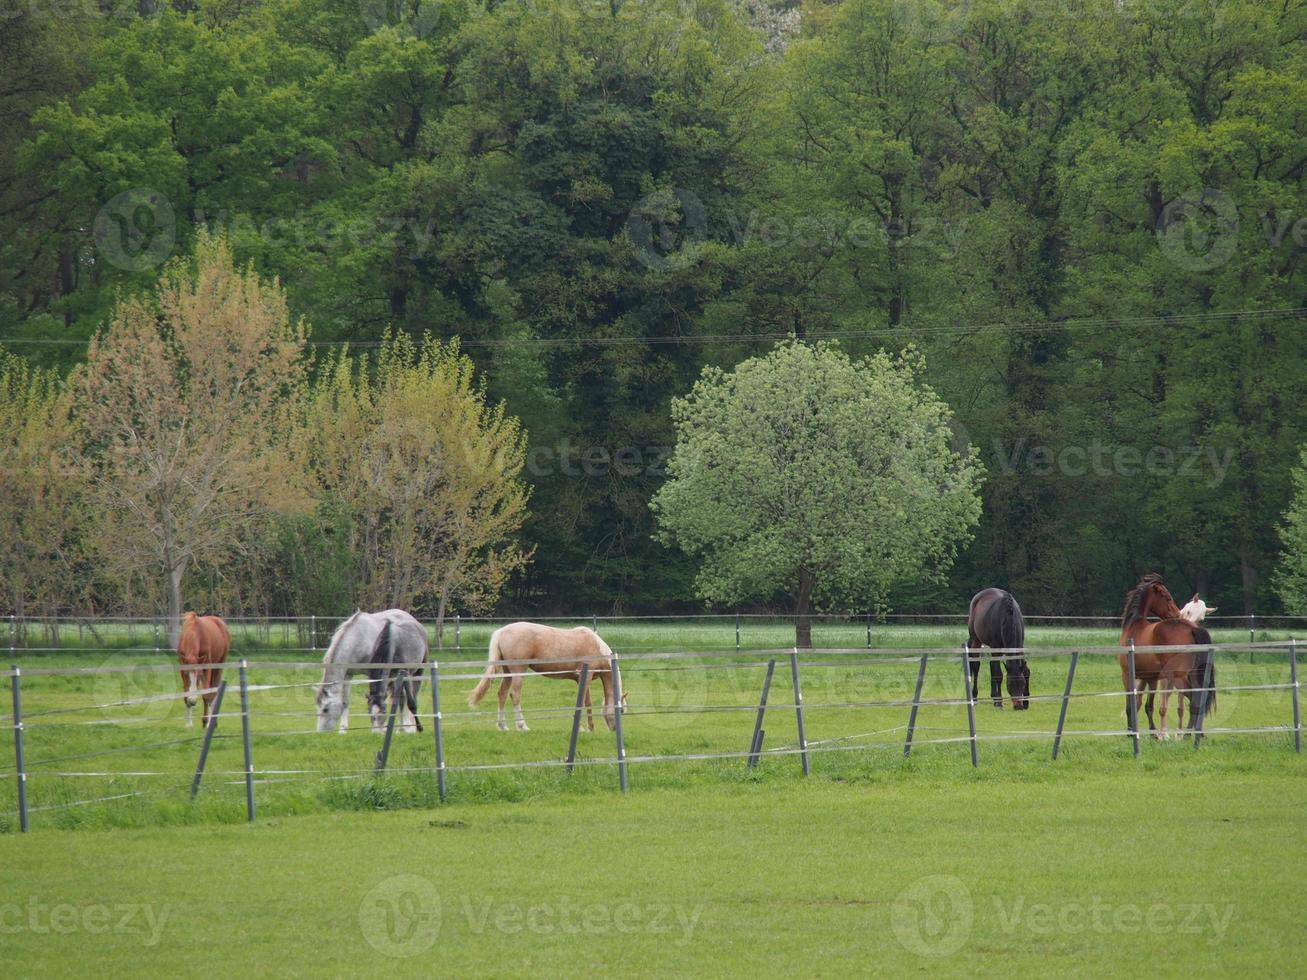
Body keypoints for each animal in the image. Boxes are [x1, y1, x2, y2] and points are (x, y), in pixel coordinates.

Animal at [470, 624, 627, 731]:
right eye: (621, 711)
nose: (615, 729)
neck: (596, 647)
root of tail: (501, 631)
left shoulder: (581, 680)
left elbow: (587, 702)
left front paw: (590, 728)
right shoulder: (586, 676)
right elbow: (582, 702)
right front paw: (582, 728)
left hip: (508, 672)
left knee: (502, 694)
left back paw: (503, 726)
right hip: (518, 672)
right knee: (514, 695)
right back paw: (522, 726)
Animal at [1118, 572, 1218, 742]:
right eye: (1167, 597)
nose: (1177, 614)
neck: (1134, 626)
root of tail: (1191, 629)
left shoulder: (1127, 674)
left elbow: (1132, 703)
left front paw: (1135, 733)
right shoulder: (1150, 678)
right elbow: (1146, 705)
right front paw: (1153, 733)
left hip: (1178, 677)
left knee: (1194, 698)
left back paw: (1186, 734)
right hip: (1192, 674)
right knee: (1197, 699)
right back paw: (1192, 733)